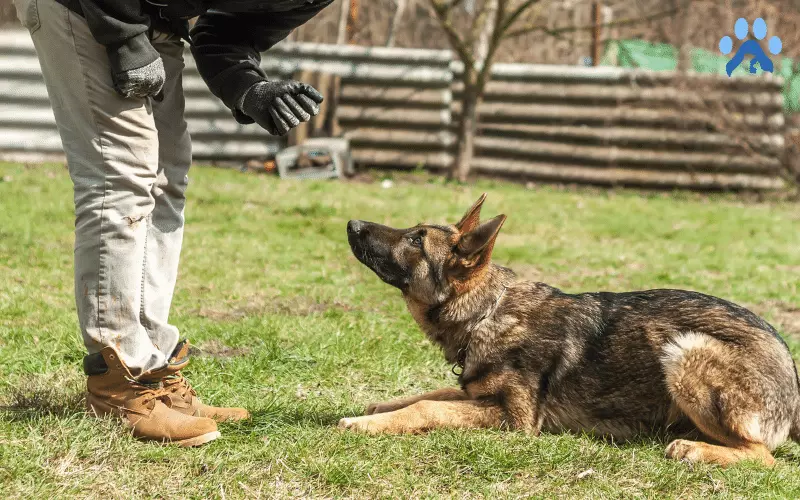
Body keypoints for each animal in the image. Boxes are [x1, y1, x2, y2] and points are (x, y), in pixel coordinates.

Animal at [340, 193, 800, 466]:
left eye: (416, 241)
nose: (352, 223)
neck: (486, 313)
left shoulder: (514, 420)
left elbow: (428, 407)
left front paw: (366, 424)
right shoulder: (476, 394)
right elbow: (425, 395)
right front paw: (378, 409)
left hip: (686, 349)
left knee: (763, 456)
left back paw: (692, 449)